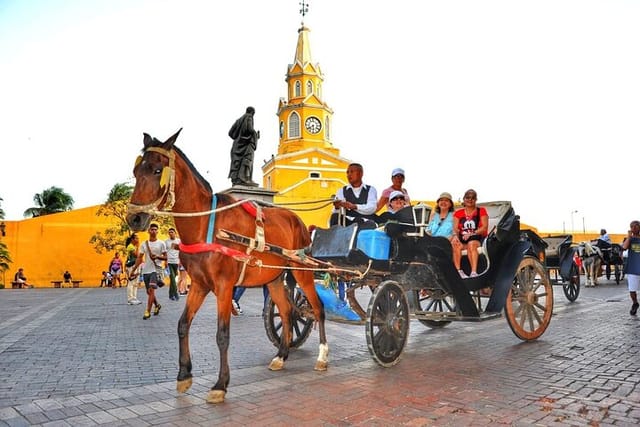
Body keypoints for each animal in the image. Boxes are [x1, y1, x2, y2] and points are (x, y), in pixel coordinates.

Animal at [125, 130, 328, 404]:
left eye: (158, 170)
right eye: (136, 171)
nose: (134, 218)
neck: (205, 225)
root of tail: (297, 219)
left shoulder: (224, 286)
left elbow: (222, 335)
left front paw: (220, 385)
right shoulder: (199, 285)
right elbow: (182, 325)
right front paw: (184, 375)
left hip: (301, 271)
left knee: (317, 308)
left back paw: (322, 356)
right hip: (274, 277)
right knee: (287, 312)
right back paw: (281, 355)